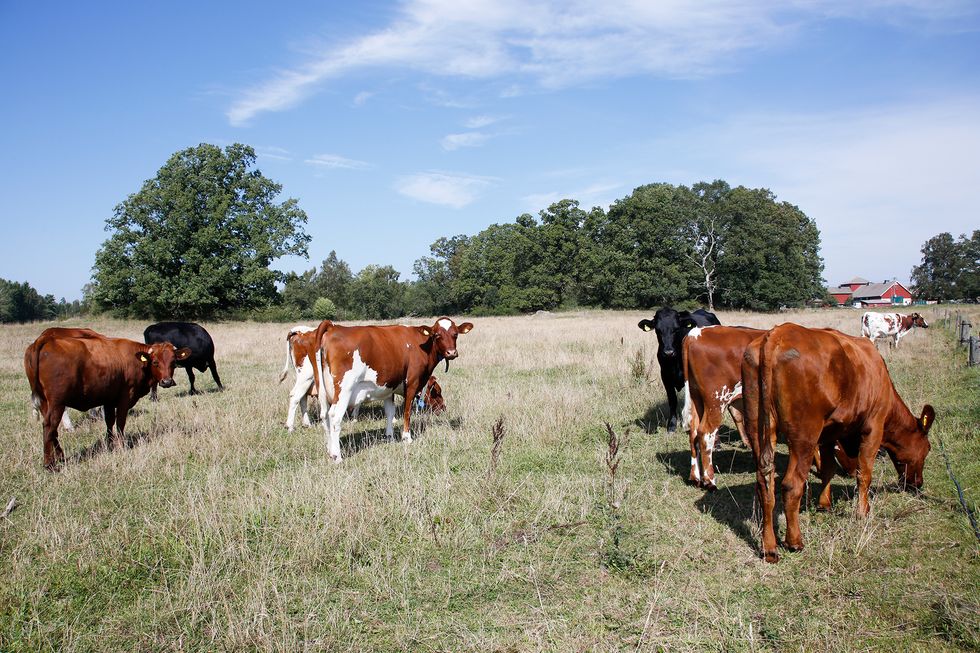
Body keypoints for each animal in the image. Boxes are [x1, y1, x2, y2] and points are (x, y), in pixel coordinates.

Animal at [24, 328, 190, 472]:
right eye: (155, 362)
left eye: (173, 362)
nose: (167, 382)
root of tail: (44, 340)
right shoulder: (125, 398)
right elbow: (120, 423)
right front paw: (121, 446)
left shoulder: (108, 399)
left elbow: (109, 422)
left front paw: (110, 445)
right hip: (57, 403)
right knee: (49, 427)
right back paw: (49, 464)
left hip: (45, 403)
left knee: (52, 431)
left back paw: (60, 456)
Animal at [310, 314, 470, 458]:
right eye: (437, 335)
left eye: (455, 334)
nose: (451, 352)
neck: (421, 344)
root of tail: (333, 327)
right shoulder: (412, 384)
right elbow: (407, 412)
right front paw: (407, 437)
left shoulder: (389, 387)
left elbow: (390, 412)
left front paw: (390, 436)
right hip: (344, 390)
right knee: (335, 417)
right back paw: (336, 455)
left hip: (323, 391)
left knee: (325, 416)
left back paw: (329, 449)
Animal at [680, 324, 764, 486]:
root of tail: (695, 334)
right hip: (716, 402)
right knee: (705, 433)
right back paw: (710, 481)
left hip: (696, 399)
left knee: (694, 433)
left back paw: (695, 478)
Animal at [744, 324, 936, 564]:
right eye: (927, 449)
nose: (917, 484)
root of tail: (777, 334)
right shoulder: (874, 425)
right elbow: (864, 473)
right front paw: (863, 511)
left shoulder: (828, 433)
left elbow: (828, 469)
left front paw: (824, 503)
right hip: (803, 435)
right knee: (791, 485)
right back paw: (794, 541)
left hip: (758, 428)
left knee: (764, 483)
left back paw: (769, 548)